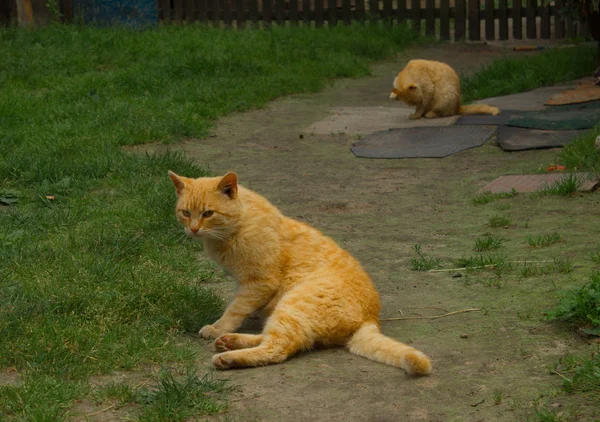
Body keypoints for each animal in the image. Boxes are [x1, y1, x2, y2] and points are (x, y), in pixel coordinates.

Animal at [169, 170, 432, 374]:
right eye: (185, 213)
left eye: (208, 213)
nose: (193, 229)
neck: (238, 224)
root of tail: (371, 317)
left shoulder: (258, 283)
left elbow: (235, 309)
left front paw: (219, 327)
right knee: (276, 337)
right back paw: (228, 343)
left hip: (293, 303)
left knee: (277, 349)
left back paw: (227, 356)